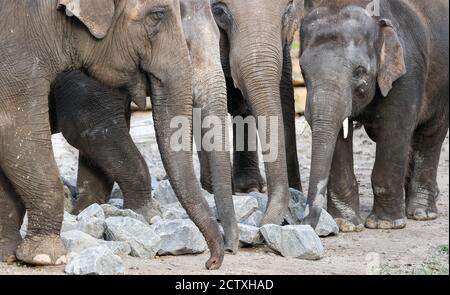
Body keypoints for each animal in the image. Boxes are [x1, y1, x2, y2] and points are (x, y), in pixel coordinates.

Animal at [298, 0, 450, 231]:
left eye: (359, 71)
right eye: (302, 71)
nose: (306, 224)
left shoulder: (407, 71)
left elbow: (394, 129)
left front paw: (385, 224)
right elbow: (340, 134)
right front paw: (346, 225)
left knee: (430, 135)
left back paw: (422, 213)